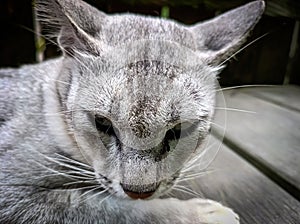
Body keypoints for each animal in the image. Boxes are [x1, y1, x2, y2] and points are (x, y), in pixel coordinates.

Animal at [0, 0, 262, 223]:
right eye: (102, 123)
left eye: (178, 129)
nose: (139, 191)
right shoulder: (14, 193)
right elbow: (112, 209)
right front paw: (203, 214)